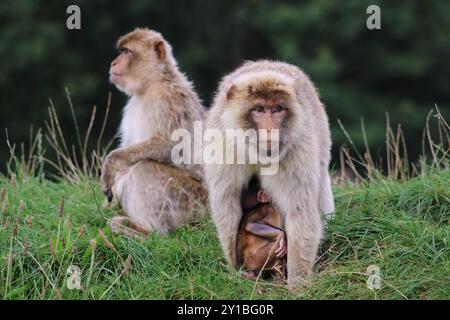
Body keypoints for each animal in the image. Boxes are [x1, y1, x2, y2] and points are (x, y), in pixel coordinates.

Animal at [101, 28, 207, 235]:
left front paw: (111, 161)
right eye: (121, 51)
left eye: (126, 52)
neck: (152, 85)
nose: (113, 62)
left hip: (193, 204)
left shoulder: (168, 101)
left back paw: (147, 231)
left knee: (145, 166)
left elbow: (171, 146)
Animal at [204, 60, 334, 290]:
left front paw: (298, 286)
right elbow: (227, 203)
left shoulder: (297, 149)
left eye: (277, 109)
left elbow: (300, 212)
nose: (271, 131)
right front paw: (235, 270)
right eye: (259, 109)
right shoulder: (224, 145)